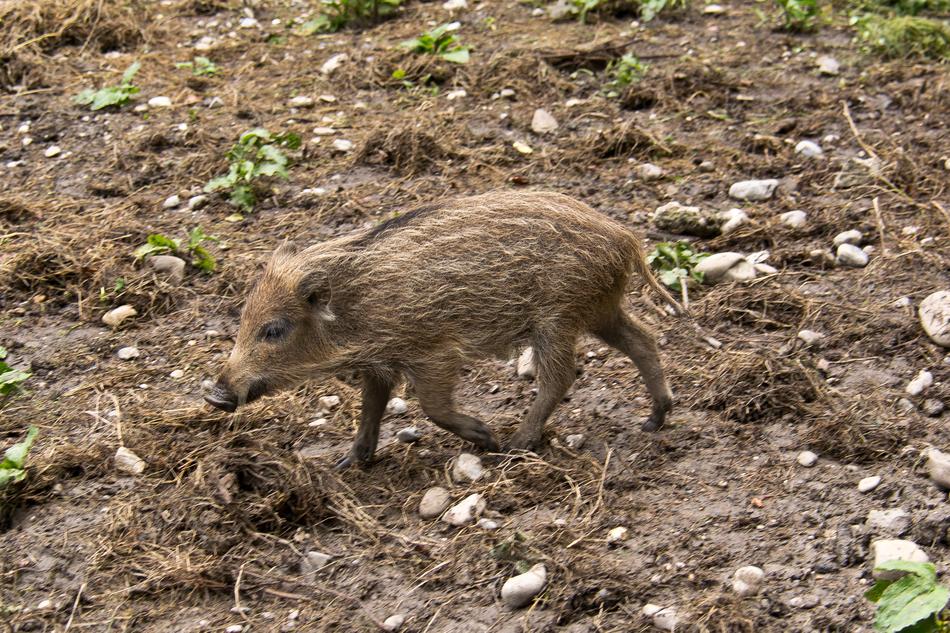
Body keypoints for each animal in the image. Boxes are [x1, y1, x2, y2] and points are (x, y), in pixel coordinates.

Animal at [204, 191, 680, 467]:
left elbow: (432, 407)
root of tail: (625, 238)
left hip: (558, 317)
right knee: (643, 339)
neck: (355, 308)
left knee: (560, 377)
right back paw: (653, 420)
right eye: (243, 321)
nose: (215, 394)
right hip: (598, 309)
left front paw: (485, 437)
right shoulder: (380, 363)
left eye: (273, 330)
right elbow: (370, 409)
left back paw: (515, 444)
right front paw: (348, 464)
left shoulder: (433, 352)